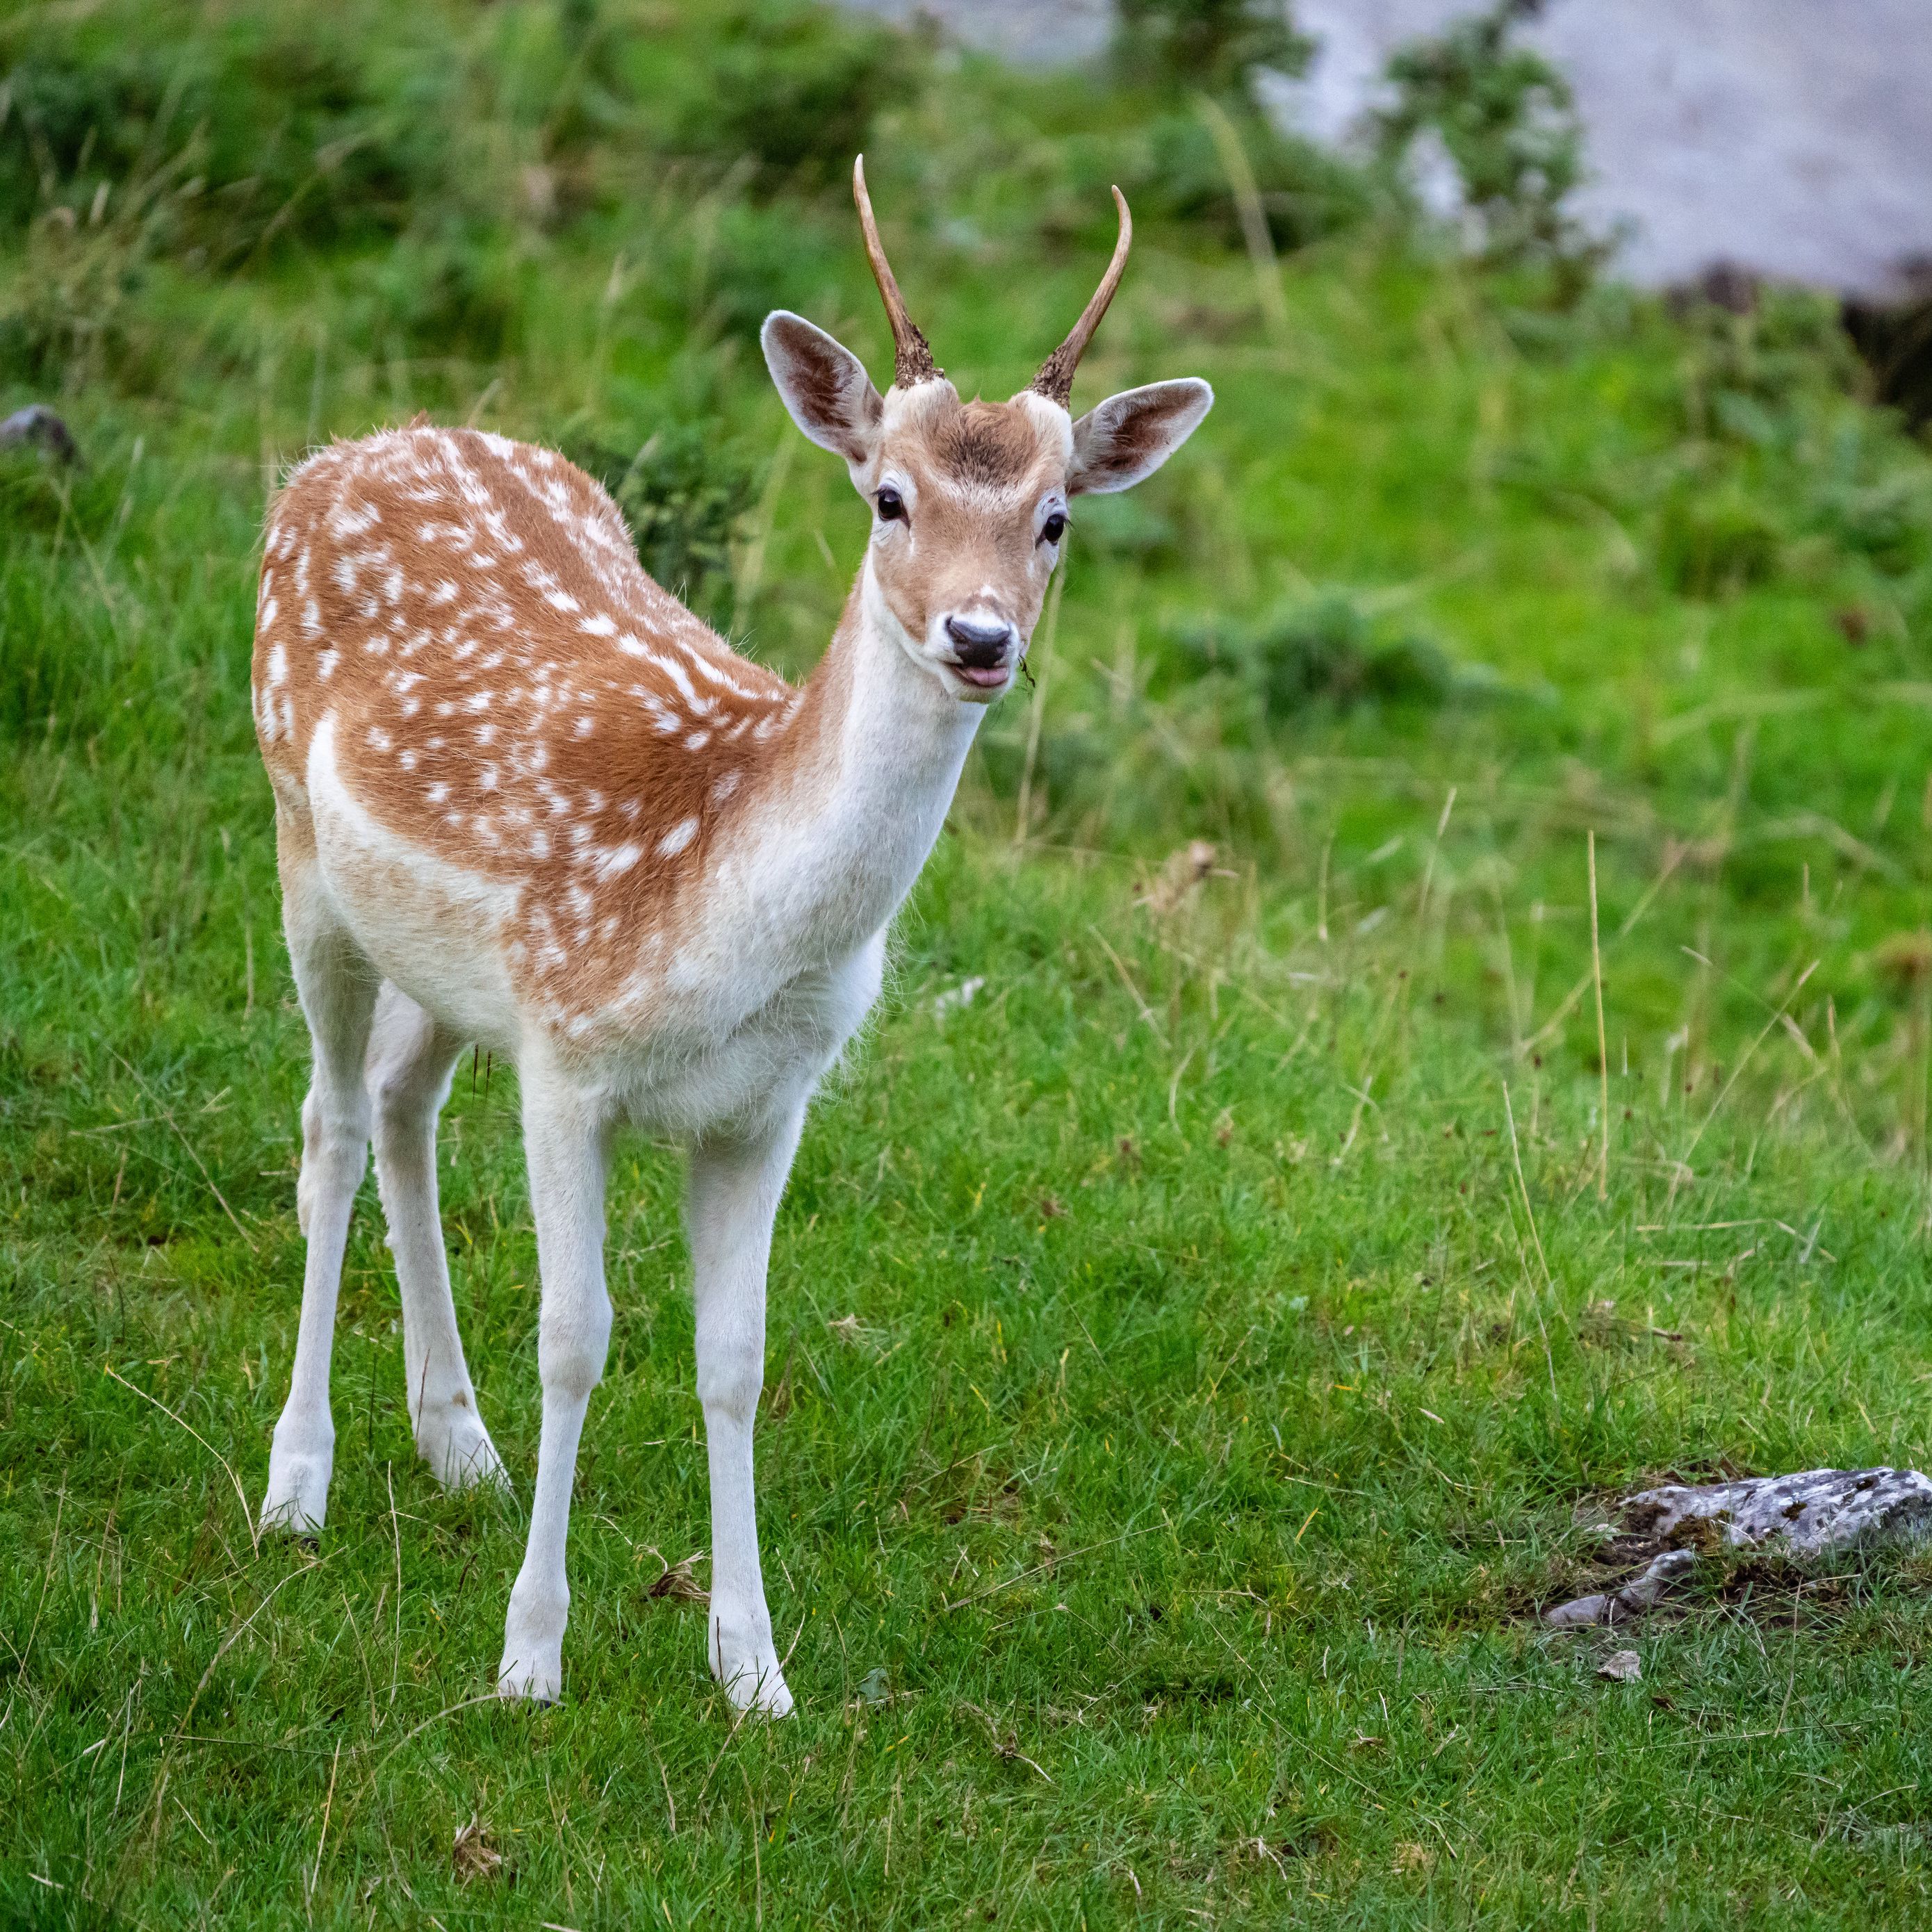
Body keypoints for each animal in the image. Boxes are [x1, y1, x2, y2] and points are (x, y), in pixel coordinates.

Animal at [241, 158, 1205, 1715]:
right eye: (887, 495)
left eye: (1057, 517)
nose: (980, 637)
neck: (727, 916)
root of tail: (339, 454)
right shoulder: (568, 1059)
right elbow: (576, 1339)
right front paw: (531, 1657)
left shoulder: (767, 1101)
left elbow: (736, 1357)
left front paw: (754, 1668)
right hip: (301, 856)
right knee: (326, 1123)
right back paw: (298, 1483)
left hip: (446, 968)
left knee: (396, 1098)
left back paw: (458, 1442)